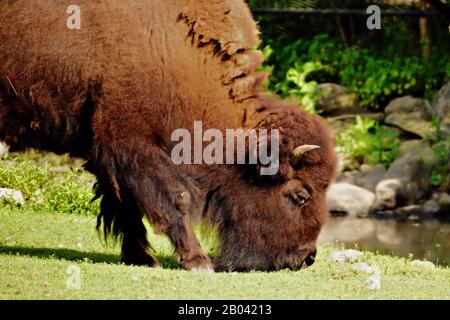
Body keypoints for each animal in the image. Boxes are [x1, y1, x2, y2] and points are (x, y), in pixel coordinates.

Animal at [0, 0, 336, 272]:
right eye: (300, 195)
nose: (307, 258)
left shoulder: (108, 152)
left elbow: (124, 205)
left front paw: (141, 258)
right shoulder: (132, 146)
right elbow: (174, 199)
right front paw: (198, 261)